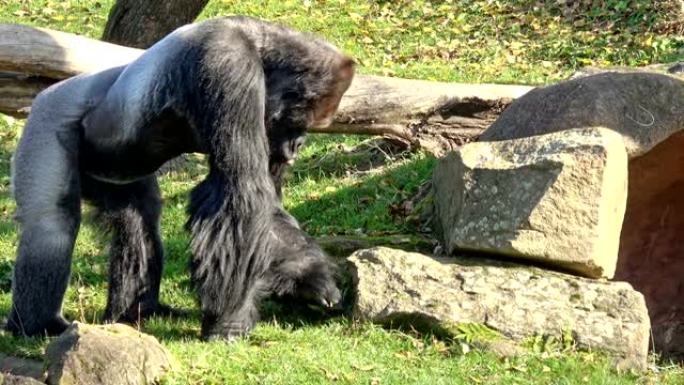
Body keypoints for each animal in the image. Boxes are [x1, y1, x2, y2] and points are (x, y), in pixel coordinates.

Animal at [6, 15, 352, 340]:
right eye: (298, 124)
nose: (297, 146)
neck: (260, 45)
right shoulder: (229, 64)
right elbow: (242, 192)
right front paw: (229, 321)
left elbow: (267, 206)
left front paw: (309, 277)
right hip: (49, 116)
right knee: (52, 222)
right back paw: (38, 325)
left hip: (112, 167)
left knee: (138, 218)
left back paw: (137, 311)